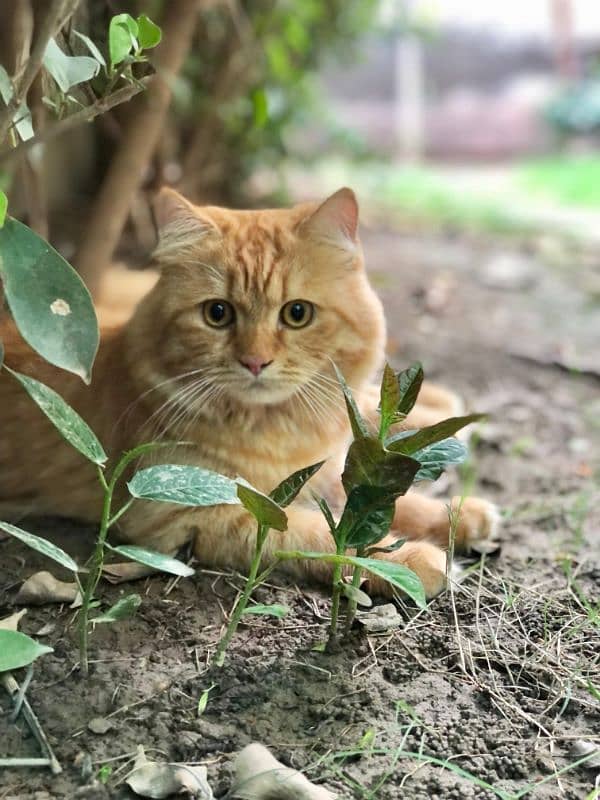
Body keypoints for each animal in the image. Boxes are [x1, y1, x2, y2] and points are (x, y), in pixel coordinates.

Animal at [0, 188, 496, 596]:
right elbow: (326, 535)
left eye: (297, 313)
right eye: (217, 314)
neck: (285, 429)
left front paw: (460, 513)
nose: (255, 362)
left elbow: (384, 498)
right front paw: (416, 560)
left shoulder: (322, 470)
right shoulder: (196, 512)